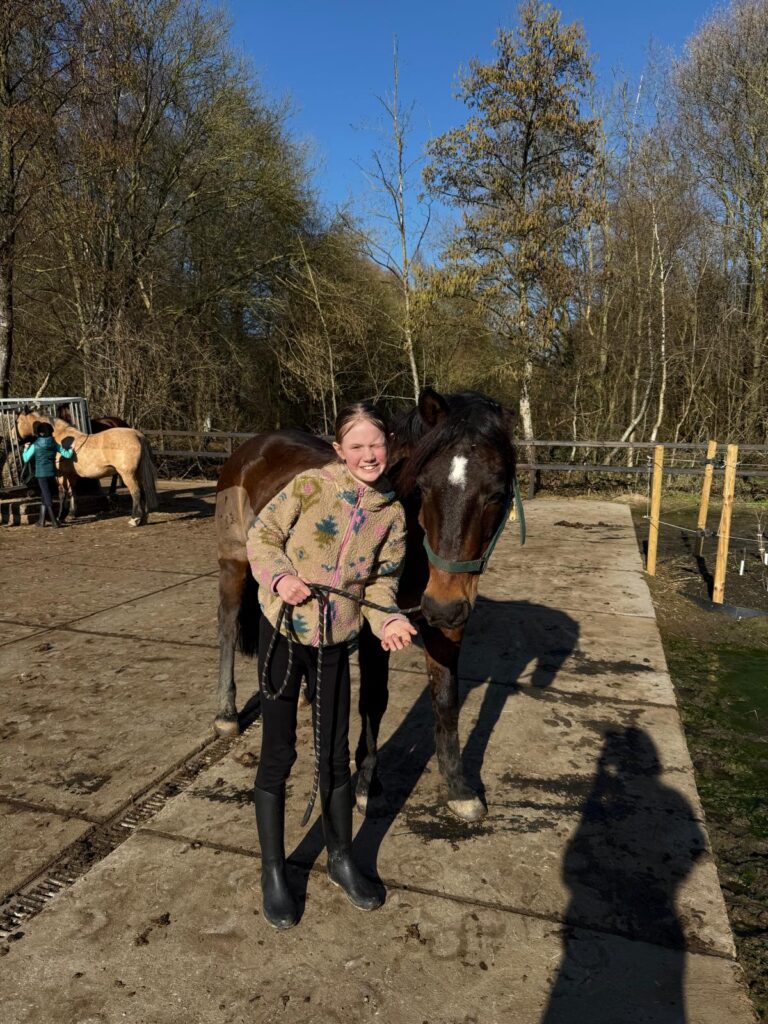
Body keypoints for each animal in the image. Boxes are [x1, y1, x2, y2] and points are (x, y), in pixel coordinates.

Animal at [16, 411, 158, 527]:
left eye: (17, 421)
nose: (15, 440)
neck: (60, 438)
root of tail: (137, 435)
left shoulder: (61, 475)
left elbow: (62, 494)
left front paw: (60, 517)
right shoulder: (71, 475)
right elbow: (72, 492)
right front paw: (71, 514)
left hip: (128, 474)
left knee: (136, 493)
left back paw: (134, 519)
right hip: (138, 473)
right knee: (143, 492)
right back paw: (143, 519)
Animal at [214, 388, 518, 823]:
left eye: (496, 493)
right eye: (424, 487)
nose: (442, 605)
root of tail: (253, 447)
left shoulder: (448, 620)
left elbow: (445, 698)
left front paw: (458, 788)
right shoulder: (377, 619)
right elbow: (374, 698)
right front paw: (366, 784)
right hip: (234, 562)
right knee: (227, 624)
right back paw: (225, 715)